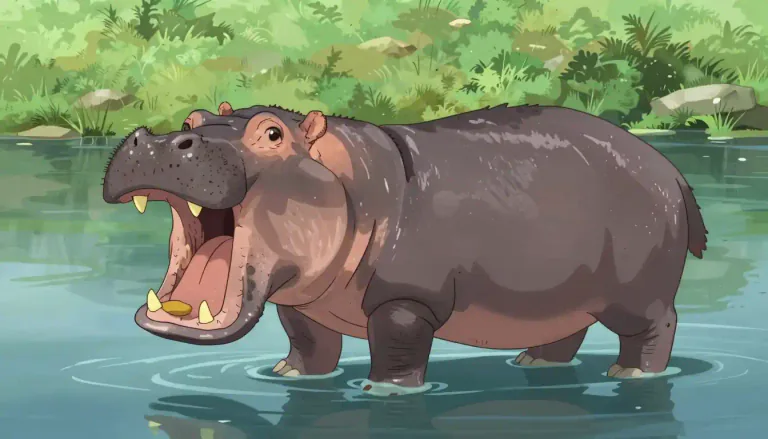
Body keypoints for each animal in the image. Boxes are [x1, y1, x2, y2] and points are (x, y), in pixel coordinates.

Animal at [102, 102, 707, 390]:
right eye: (194, 117)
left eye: (272, 134)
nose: (156, 140)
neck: (351, 179)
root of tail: (672, 172)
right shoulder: (301, 301)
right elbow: (308, 342)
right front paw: (289, 375)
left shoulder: (406, 300)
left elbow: (395, 345)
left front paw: (386, 392)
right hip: (558, 290)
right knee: (566, 331)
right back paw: (532, 363)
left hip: (636, 294)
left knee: (656, 327)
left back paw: (631, 375)